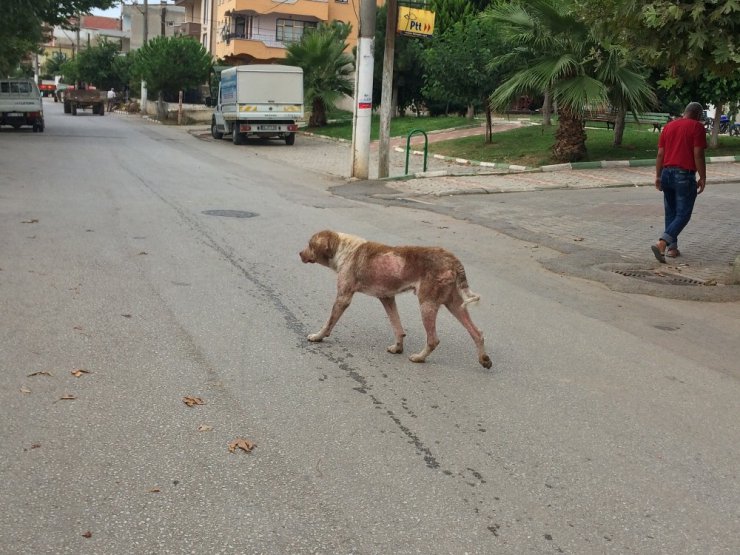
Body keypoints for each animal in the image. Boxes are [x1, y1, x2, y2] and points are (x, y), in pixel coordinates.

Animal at [298, 230, 494, 370]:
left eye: (310, 244)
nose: (299, 253)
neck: (343, 249)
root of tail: (452, 259)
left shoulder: (343, 297)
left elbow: (329, 322)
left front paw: (318, 336)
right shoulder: (387, 297)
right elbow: (397, 326)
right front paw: (397, 347)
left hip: (427, 303)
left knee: (433, 339)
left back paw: (419, 358)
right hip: (454, 304)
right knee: (477, 332)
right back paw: (484, 359)